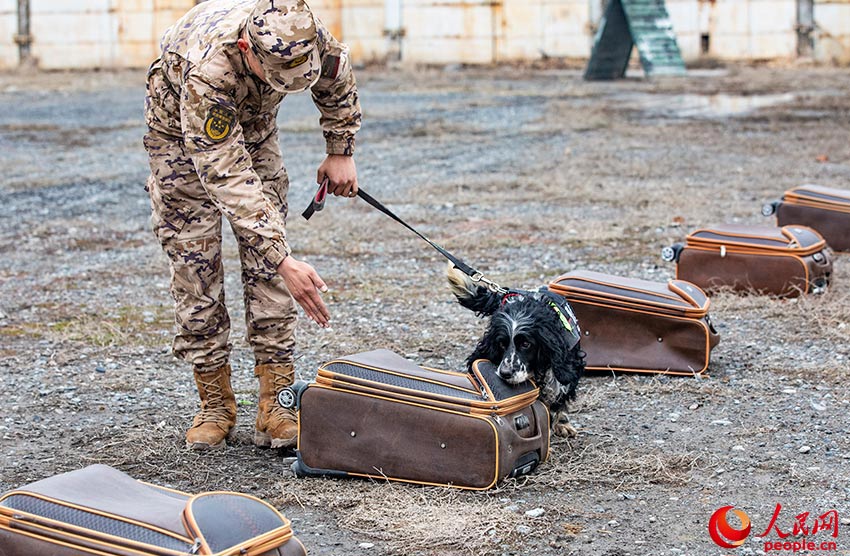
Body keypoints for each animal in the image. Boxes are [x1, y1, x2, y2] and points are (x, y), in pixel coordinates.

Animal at [444, 266, 584, 438]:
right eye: (501, 344)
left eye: (526, 344)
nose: (505, 373)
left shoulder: (567, 363)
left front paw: (562, 423)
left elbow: (561, 391)